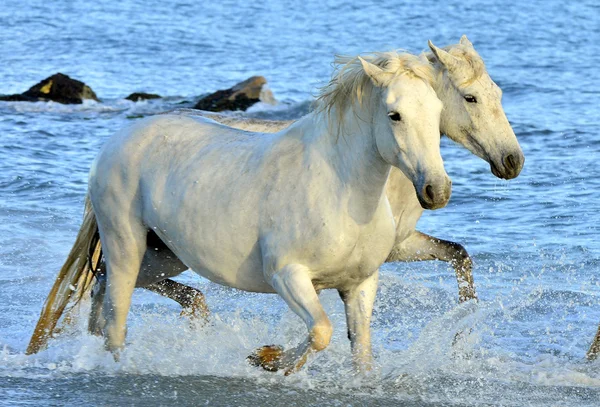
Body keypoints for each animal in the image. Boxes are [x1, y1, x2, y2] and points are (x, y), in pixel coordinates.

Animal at [28, 51, 450, 372]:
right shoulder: (287, 275)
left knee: (103, 289)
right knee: (116, 320)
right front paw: (267, 359)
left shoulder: (359, 284)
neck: (341, 189)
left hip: (165, 254)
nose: (437, 190)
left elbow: (360, 351)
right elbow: (321, 332)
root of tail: (112, 145)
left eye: (437, 111)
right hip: (125, 245)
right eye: (394, 115)